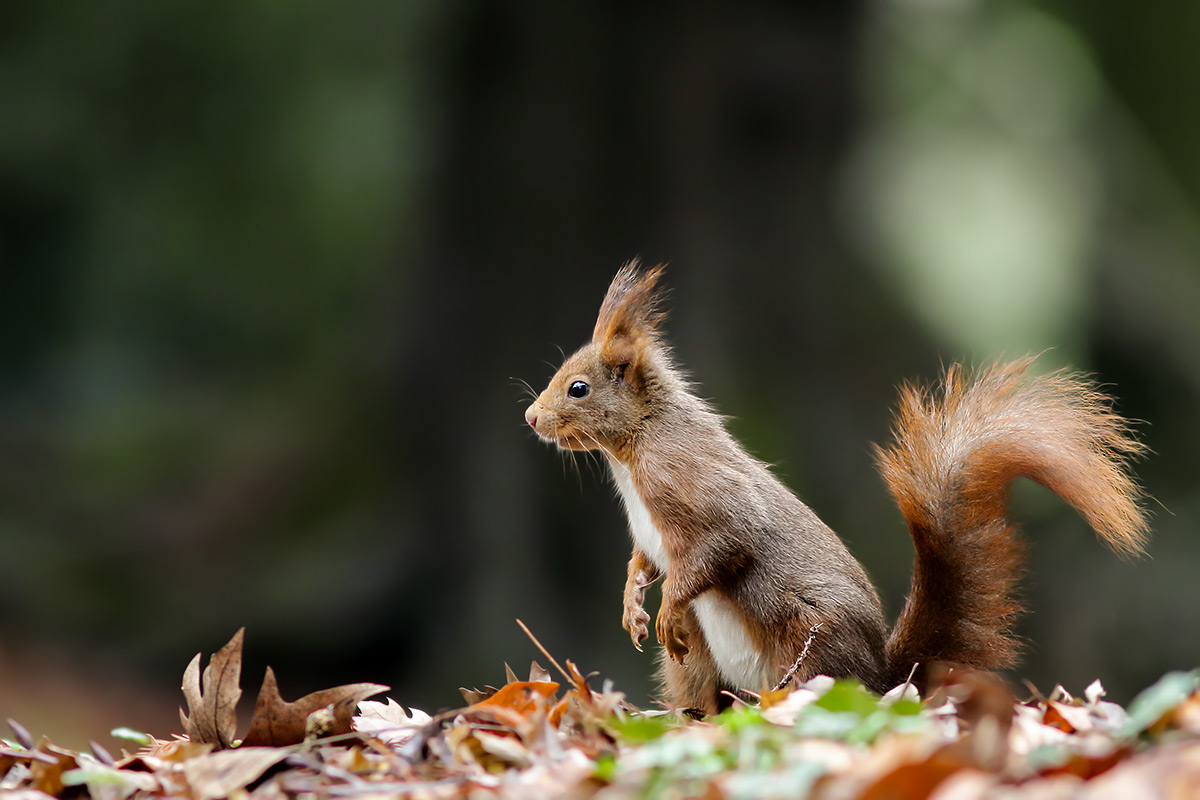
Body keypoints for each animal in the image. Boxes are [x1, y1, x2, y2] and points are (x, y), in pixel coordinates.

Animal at [524, 262, 1149, 714]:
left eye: (578, 388)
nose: (531, 418)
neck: (632, 451)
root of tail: (882, 676)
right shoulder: (652, 532)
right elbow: (643, 562)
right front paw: (631, 604)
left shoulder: (695, 485)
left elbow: (720, 546)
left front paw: (666, 608)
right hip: (695, 663)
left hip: (809, 640)